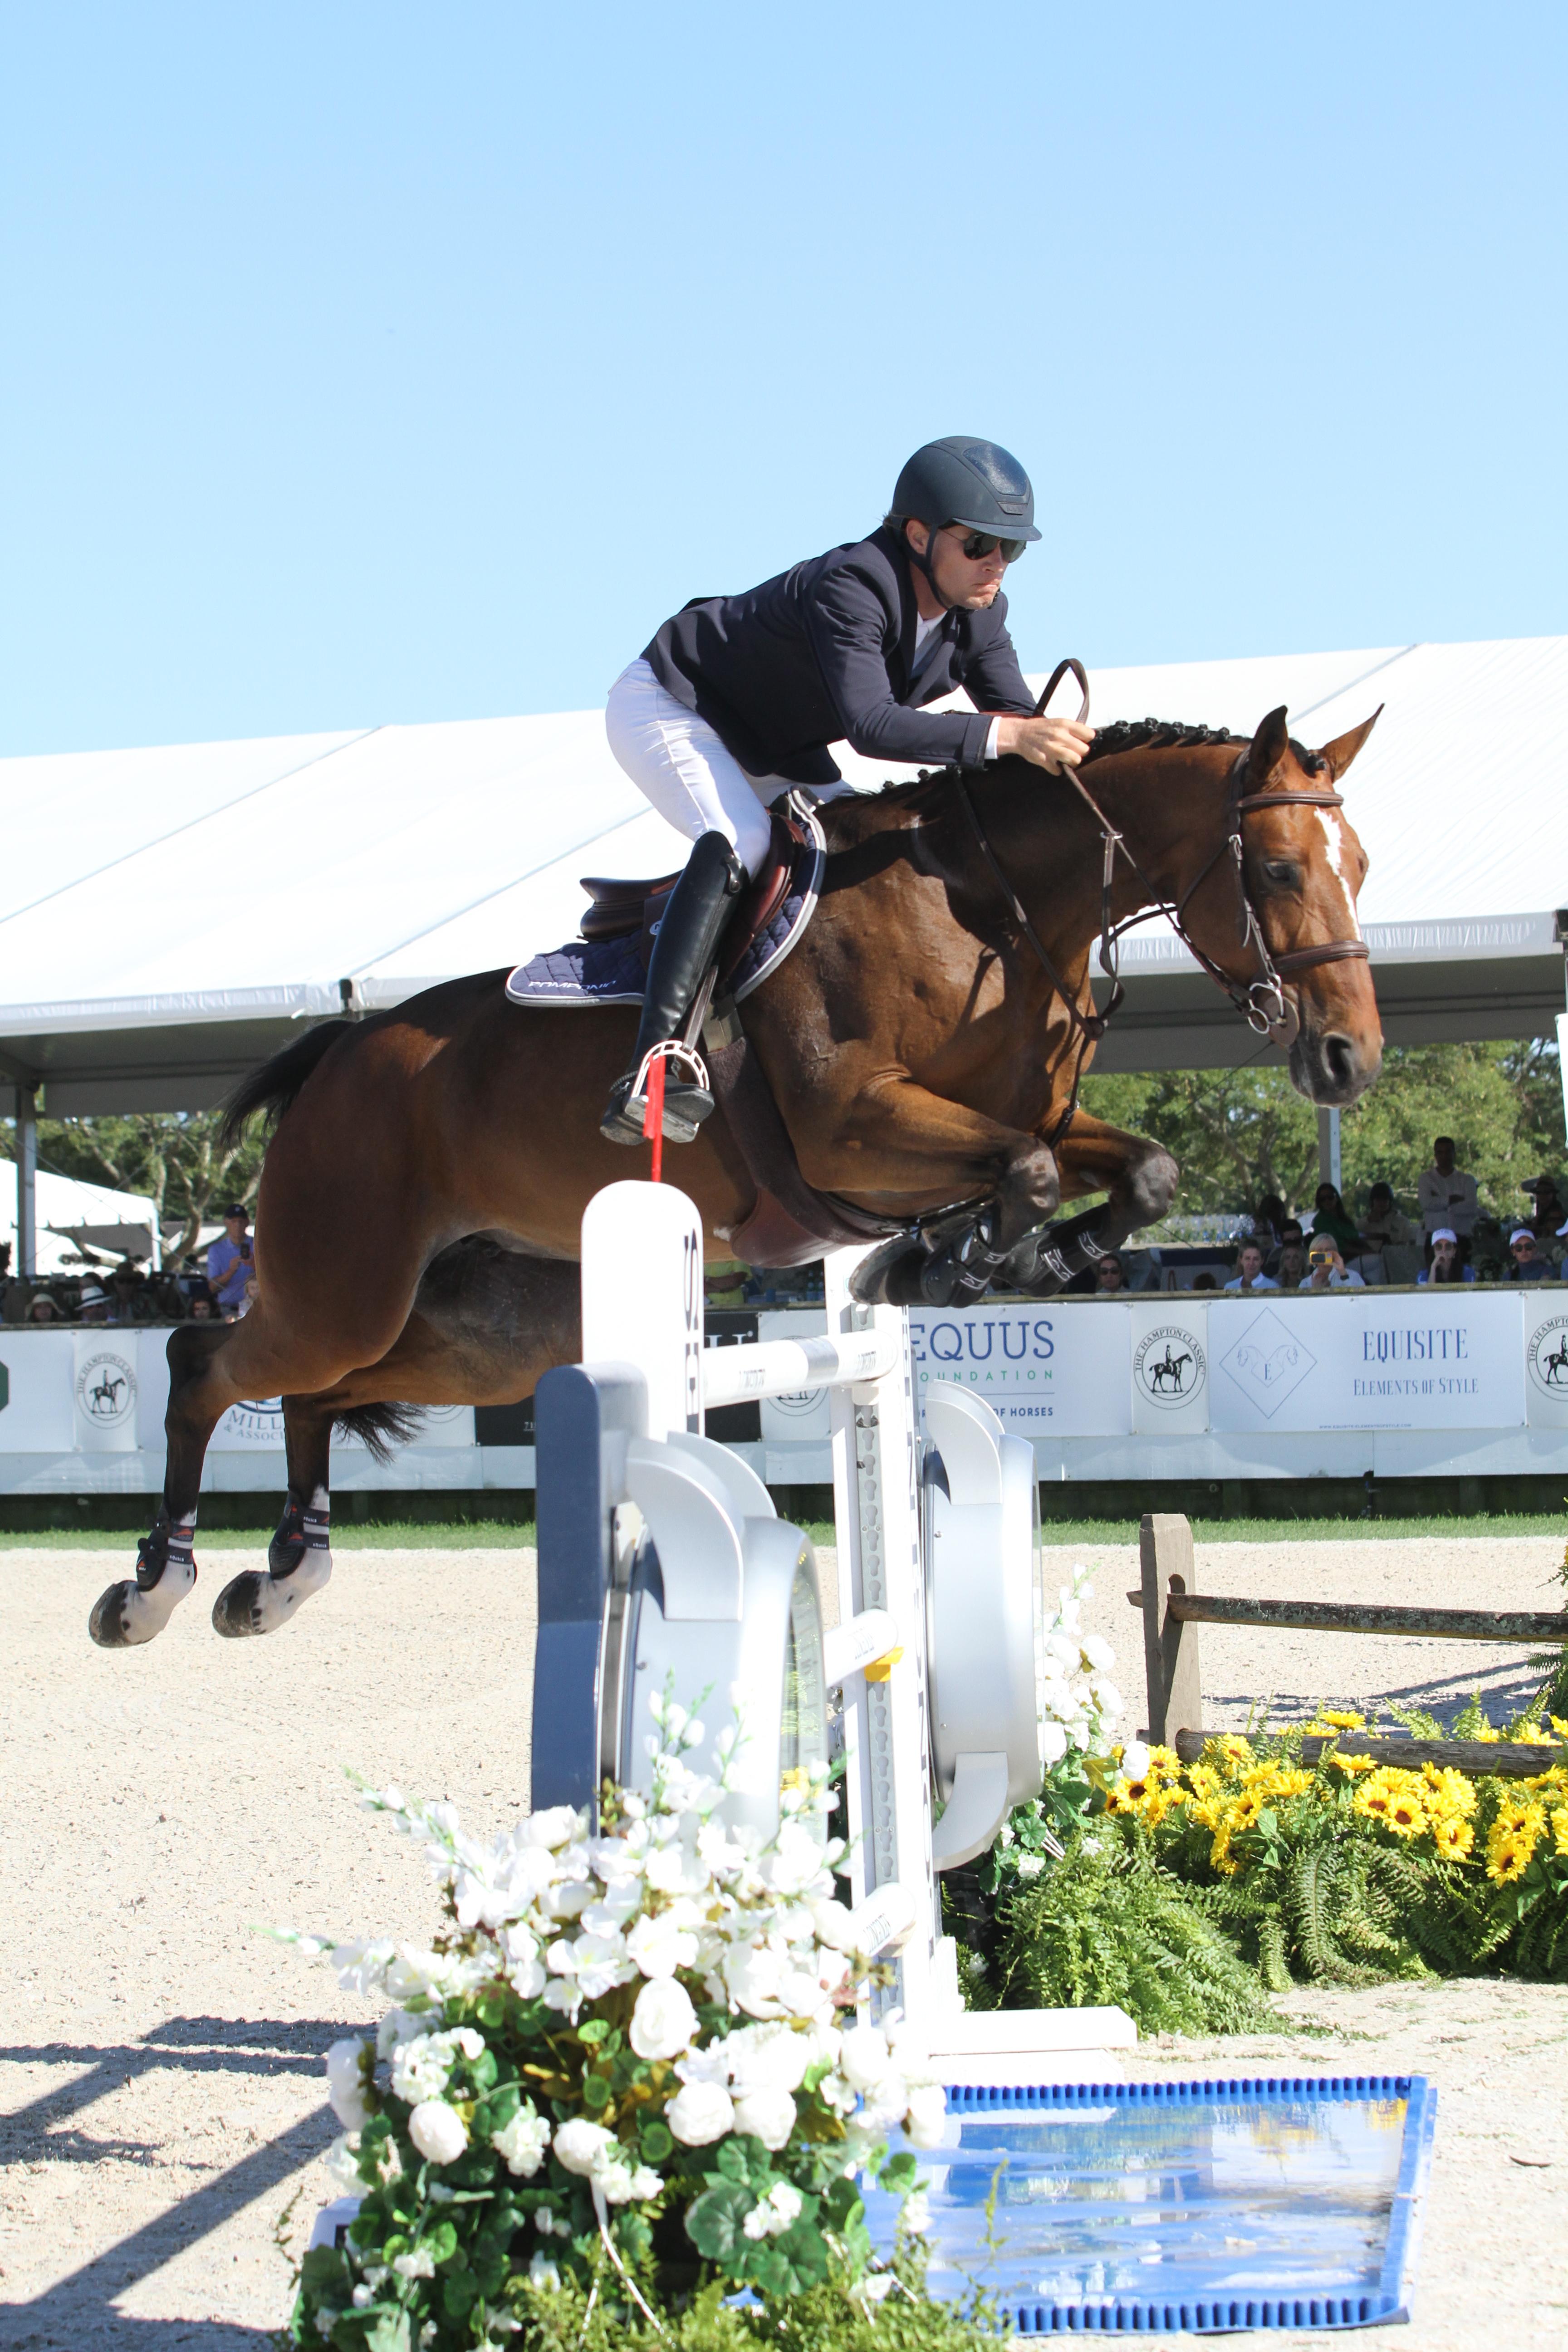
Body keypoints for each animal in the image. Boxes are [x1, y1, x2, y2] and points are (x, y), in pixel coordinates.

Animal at [92, 696, 1382, 1656]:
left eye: (1359, 864)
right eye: (1276, 870)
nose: (1348, 1058)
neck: (990, 911)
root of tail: (341, 1052)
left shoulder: (1030, 1119)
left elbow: (1140, 1172)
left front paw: (1011, 1257)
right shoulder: (855, 1130)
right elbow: (1016, 1173)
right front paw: (946, 1259)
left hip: (480, 1328)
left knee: (314, 1394)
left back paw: (281, 1575)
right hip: (345, 1282)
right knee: (206, 1364)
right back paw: (153, 1586)